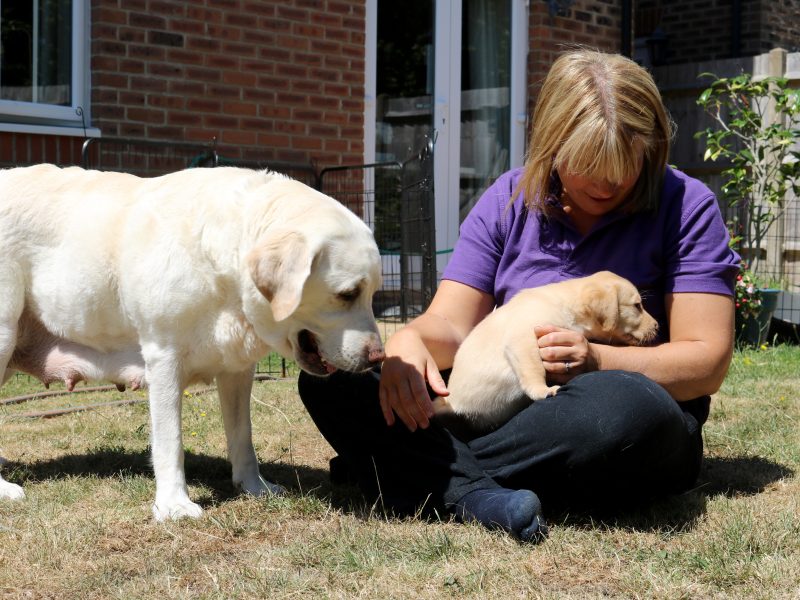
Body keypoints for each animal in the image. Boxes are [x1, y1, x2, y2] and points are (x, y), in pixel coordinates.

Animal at [0, 164, 385, 520]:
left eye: (372, 294)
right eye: (347, 294)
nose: (378, 357)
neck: (225, 263)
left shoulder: (237, 368)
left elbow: (242, 435)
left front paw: (254, 487)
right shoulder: (164, 358)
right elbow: (170, 442)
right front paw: (174, 505)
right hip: (4, 335)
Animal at [433, 271, 658, 433]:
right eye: (637, 306)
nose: (657, 326)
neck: (567, 304)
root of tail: (452, 402)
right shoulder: (523, 338)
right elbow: (535, 369)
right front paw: (543, 390)